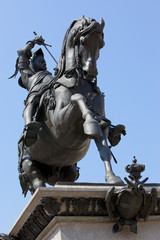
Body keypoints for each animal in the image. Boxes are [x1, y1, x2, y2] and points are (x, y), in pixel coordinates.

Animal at [17, 17, 125, 197]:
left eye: (101, 43)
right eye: (82, 40)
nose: (90, 72)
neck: (78, 81)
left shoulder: (101, 122)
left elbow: (104, 150)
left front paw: (112, 179)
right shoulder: (61, 123)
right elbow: (77, 98)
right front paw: (90, 122)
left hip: (68, 169)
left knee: (67, 178)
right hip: (28, 161)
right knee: (36, 180)